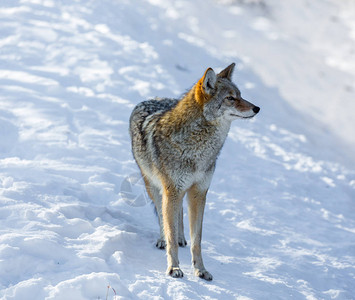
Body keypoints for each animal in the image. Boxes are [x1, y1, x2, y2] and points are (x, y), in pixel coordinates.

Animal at [129, 62, 260, 280]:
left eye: (241, 95)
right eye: (230, 98)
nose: (257, 108)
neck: (198, 149)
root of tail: (155, 98)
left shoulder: (199, 192)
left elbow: (196, 240)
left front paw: (201, 270)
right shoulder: (172, 190)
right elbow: (170, 232)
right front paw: (174, 268)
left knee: (178, 215)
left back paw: (182, 237)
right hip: (154, 186)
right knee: (162, 216)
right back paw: (162, 239)